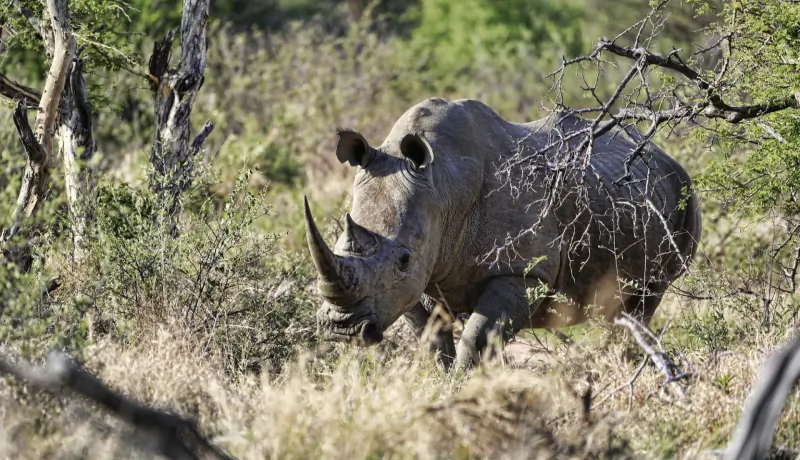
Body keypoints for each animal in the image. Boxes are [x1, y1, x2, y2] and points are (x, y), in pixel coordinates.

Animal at [304, 97, 702, 370]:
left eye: (403, 259)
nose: (342, 327)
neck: (443, 186)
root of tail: (664, 155)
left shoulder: (522, 270)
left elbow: (478, 336)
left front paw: (461, 385)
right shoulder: (418, 279)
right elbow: (431, 341)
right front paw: (437, 380)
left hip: (683, 196)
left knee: (645, 300)